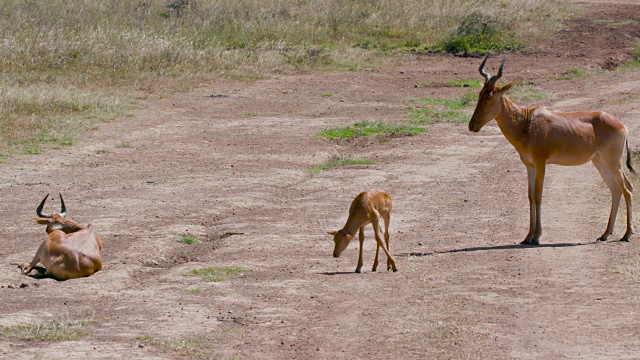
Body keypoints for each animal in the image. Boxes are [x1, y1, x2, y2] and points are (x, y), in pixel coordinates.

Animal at [470, 55, 636, 245]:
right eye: (480, 94)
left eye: (490, 96)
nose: (472, 125)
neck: (527, 121)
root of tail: (622, 125)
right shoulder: (529, 165)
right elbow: (530, 196)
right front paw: (527, 237)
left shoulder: (541, 163)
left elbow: (538, 195)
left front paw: (536, 237)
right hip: (599, 162)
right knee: (616, 190)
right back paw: (605, 234)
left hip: (613, 162)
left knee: (628, 189)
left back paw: (626, 235)